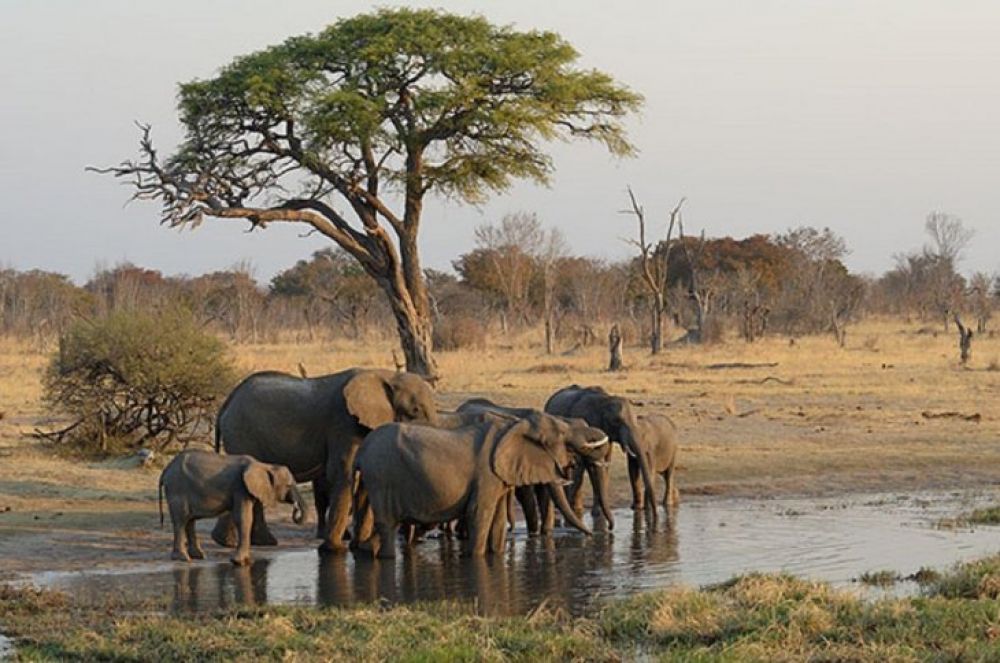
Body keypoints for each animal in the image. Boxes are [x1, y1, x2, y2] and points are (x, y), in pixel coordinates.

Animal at [158, 450, 306, 566]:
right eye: (288, 485)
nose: (296, 511)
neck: (265, 465)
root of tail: (166, 470)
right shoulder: (240, 487)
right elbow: (244, 518)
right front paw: (239, 563)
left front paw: (247, 562)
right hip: (177, 488)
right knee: (181, 520)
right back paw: (183, 558)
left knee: (189, 520)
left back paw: (198, 556)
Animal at [212, 368, 437, 553]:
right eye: (415, 411)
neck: (386, 375)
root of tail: (226, 403)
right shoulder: (344, 424)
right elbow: (343, 474)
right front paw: (335, 549)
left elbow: (364, 481)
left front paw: (360, 548)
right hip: (242, 434)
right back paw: (244, 543)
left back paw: (240, 542)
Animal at [351, 411, 608, 558]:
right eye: (562, 435)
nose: (593, 537)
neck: (514, 425)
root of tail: (361, 452)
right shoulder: (486, 475)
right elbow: (479, 514)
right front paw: (476, 559)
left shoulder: (498, 477)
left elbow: (497, 520)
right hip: (381, 476)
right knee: (387, 525)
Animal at [456, 397, 613, 534]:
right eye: (582, 448)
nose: (610, 529)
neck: (559, 418)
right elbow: (528, 493)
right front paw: (534, 534)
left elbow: (544, 491)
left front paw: (545, 533)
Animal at [544, 385, 658, 523]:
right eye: (617, 421)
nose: (655, 517)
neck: (605, 401)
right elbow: (589, 467)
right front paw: (592, 513)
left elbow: (604, 466)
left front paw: (598, 513)